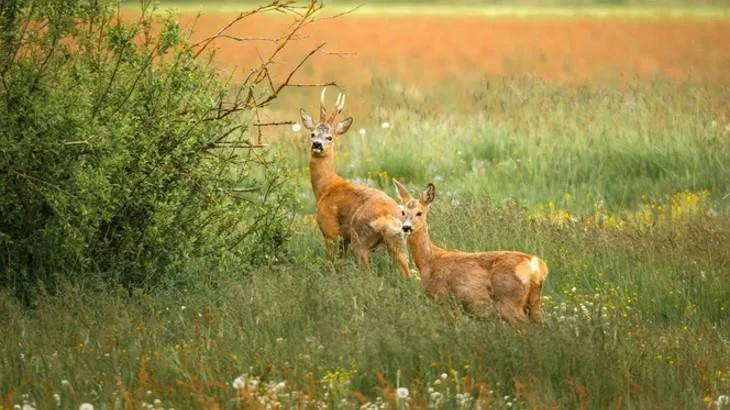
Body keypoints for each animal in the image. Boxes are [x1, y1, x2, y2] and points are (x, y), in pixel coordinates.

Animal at [296, 88, 410, 278]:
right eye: (312, 134)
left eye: (330, 137)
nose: (317, 145)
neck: (326, 188)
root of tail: (386, 217)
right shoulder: (345, 238)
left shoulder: (330, 229)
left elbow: (331, 264)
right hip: (398, 241)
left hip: (361, 240)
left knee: (368, 273)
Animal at [392, 179, 544, 324]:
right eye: (403, 212)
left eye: (419, 212)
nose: (406, 227)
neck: (429, 260)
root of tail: (537, 266)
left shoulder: (442, 298)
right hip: (534, 304)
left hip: (509, 300)